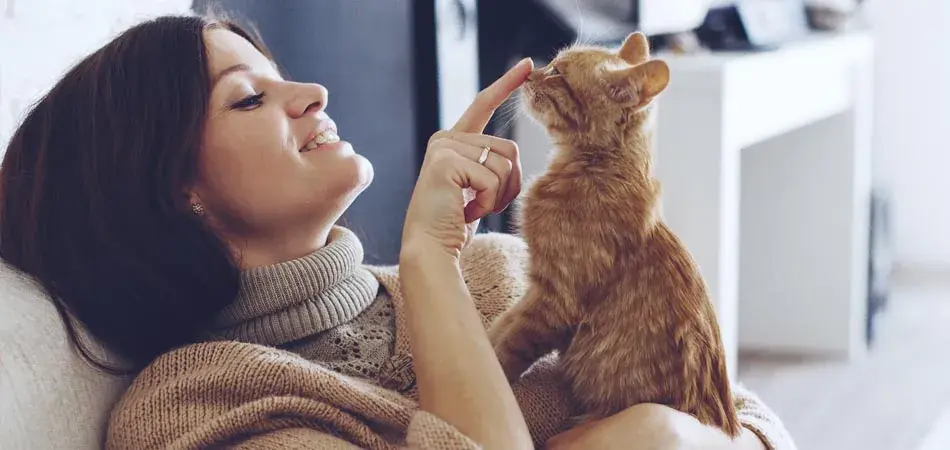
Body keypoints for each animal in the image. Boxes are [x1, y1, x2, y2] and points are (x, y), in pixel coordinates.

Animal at [490, 32, 744, 436]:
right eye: (551, 64)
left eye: (558, 73)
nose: (529, 73)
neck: (596, 170)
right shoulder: (536, 291)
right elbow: (502, 325)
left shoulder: (554, 300)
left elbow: (508, 348)